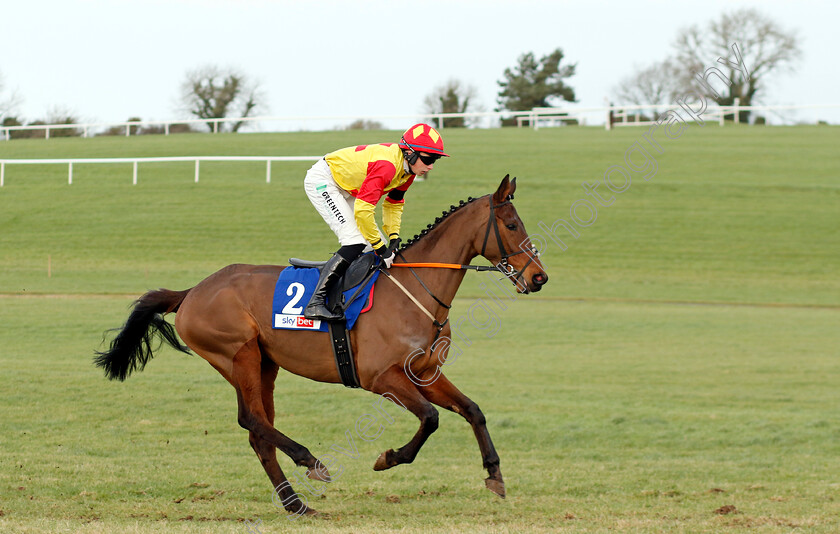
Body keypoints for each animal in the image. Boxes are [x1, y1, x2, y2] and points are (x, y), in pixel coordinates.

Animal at [95, 176, 552, 520]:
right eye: (512, 225)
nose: (539, 277)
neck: (414, 291)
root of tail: (192, 292)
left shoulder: (423, 372)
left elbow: (472, 409)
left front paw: (494, 475)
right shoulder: (381, 377)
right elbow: (431, 418)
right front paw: (388, 457)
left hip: (265, 365)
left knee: (259, 433)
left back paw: (296, 504)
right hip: (238, 356)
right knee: (251, 420)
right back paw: (311, 462)